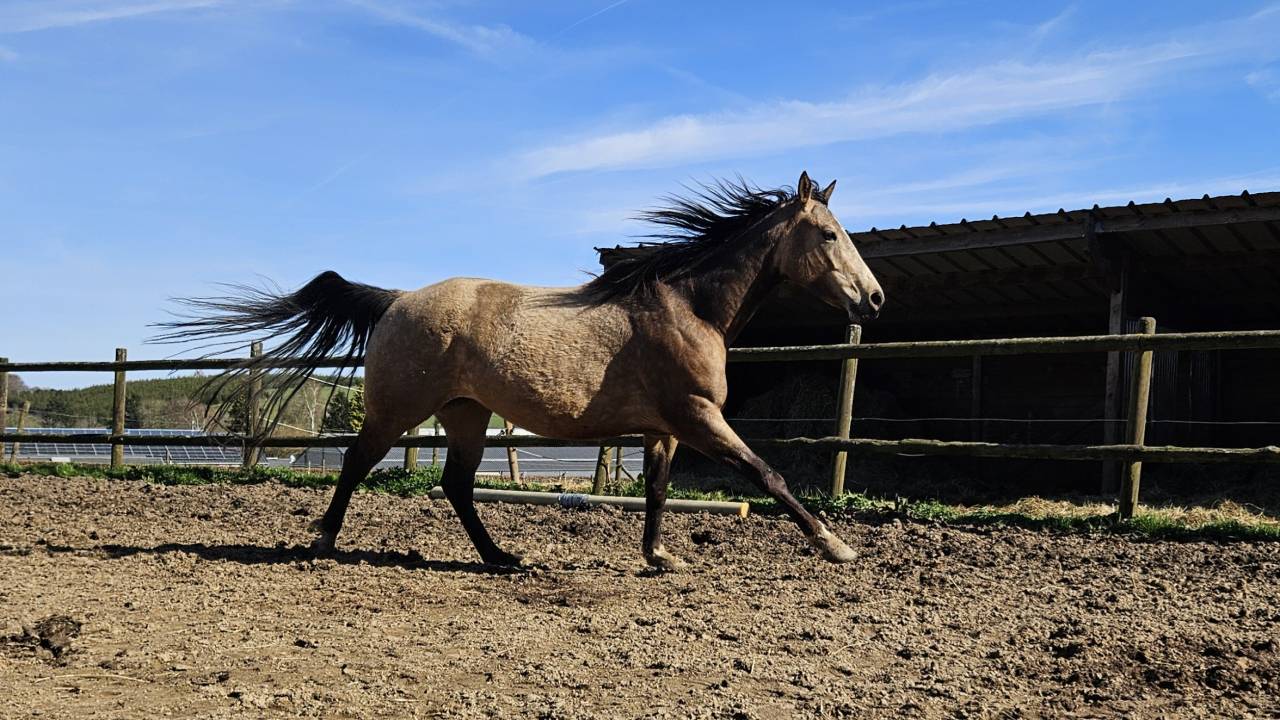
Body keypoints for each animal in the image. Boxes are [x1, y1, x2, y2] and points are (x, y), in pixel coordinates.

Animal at [158, 172, 884, 571]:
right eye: (828, 234)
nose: (874, 299)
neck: (688, 306)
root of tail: (396, 300)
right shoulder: (699, 417)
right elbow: (769, 474)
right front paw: (836, 546)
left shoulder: (667, 428)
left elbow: (656, 491)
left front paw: (659, 557)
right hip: (400, 409)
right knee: (358, 464)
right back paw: (325, 541)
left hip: (466, 415)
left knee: (455, 486)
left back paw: (501, 557)